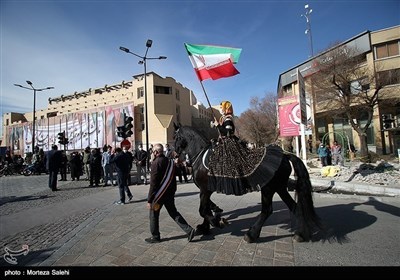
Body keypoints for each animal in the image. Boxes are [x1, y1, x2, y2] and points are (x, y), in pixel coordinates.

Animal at [174, 123, 322, 242]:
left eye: (175, 137)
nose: (174, 154)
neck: (199, 156)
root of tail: (285, 155)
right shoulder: (204, 190)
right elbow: (205, 208)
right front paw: (205, 227)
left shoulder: (205, 189)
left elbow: (203, 210)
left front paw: (218, 222)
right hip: (279, 187)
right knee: (294, 207)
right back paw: (300, 234)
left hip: (268, 188)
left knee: (267, 210)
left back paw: (251, 235)